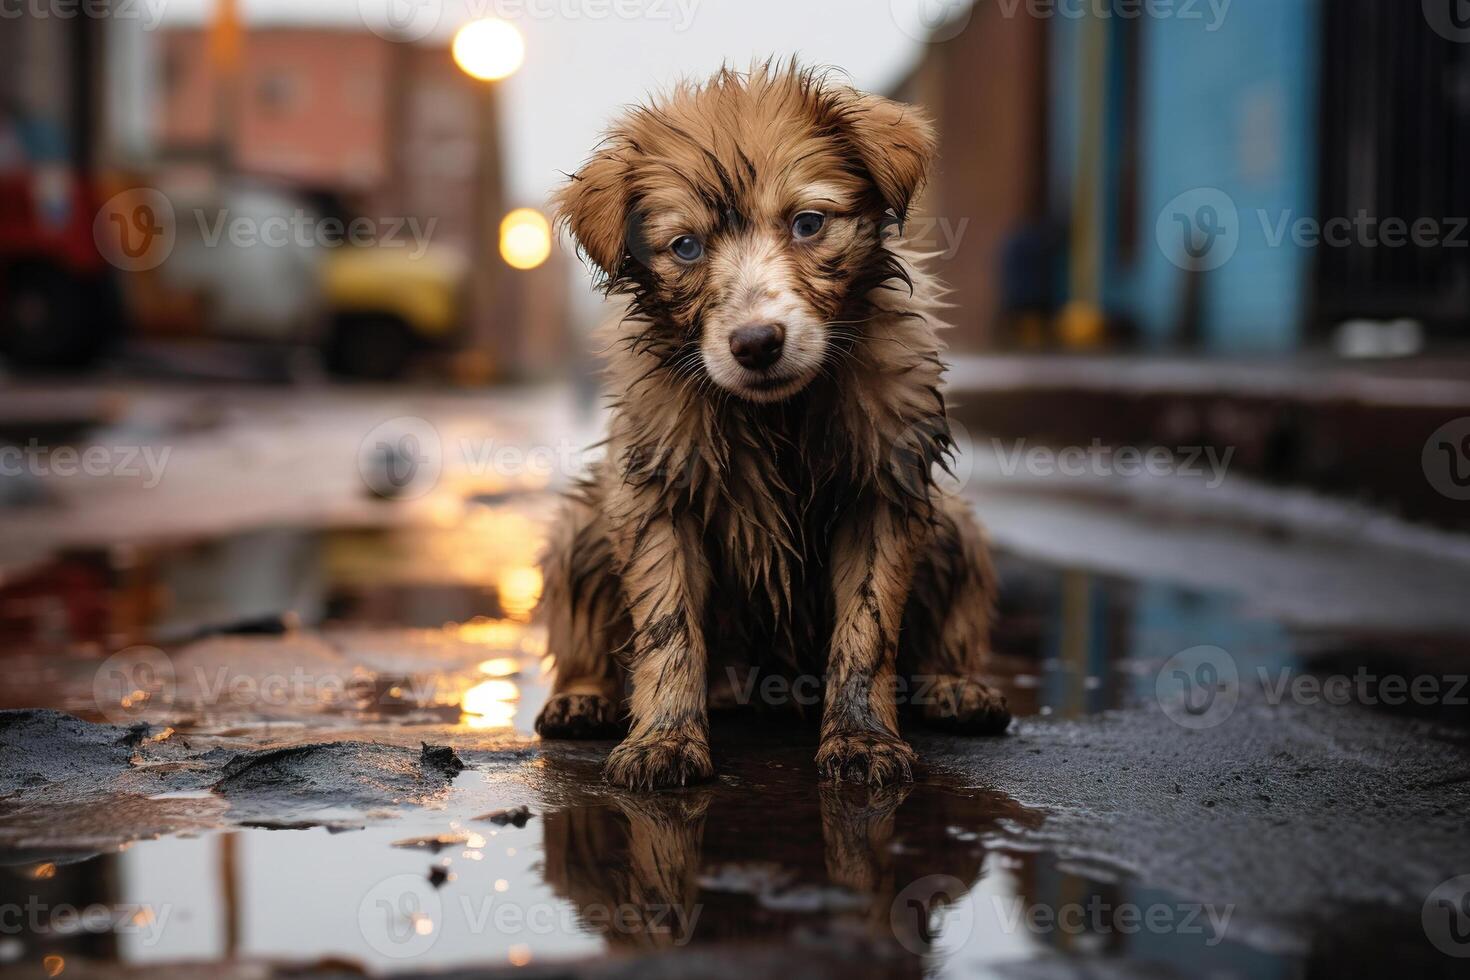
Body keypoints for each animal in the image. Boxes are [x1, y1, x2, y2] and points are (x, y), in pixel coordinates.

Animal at [540, 63, 1011, 787]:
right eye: (685, 246)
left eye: (808, 223)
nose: (757, 344)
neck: (778, 413)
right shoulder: (656, 493)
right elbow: (668, 627)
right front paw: (665, 738)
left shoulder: (884, 487)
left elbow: (867, 629)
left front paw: (861, 737)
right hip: (582, 528)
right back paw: (583, 695)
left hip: (955, 528)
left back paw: (954, 684)